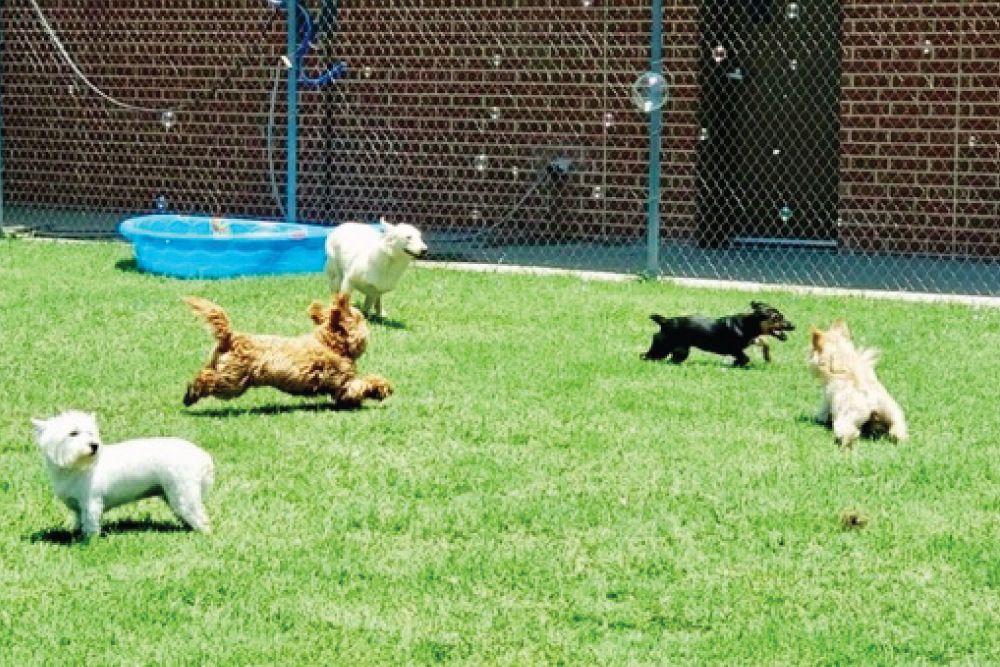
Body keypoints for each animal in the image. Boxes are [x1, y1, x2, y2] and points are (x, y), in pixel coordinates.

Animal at [33, 410, 215, 540]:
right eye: (73, 433)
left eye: (91, 433)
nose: (94, 445)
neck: (76, 467)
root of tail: (202, 456)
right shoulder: (78, 506)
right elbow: (79, 520)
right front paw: (77, 533)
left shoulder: (91, 502)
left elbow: (90, 523)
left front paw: (89, 541)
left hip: (183, 494)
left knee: (200, 517)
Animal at [182, 294, 392, 410]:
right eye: (361, 319)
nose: (369, 322)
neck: (330, 344)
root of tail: (231, 336)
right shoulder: (343, 382)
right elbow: (363, 385)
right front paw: (383, 388)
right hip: (232, 381)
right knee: (207, 380)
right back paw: (192, 393)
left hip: (221, 368)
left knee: (205, 372)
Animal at [640, 302, 796, 366]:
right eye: (777, 318)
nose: (793, 326)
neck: (748, 325)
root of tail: (665, 322)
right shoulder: (733, 349)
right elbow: (745, 357)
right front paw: (736, 363)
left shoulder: (752, 340)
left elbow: (764, 343)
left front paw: (767, 358)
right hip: (661, 347)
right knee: (644, 356)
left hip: (680, 352)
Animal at [804, 320, 908, 448]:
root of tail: (872, 401)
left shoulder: (827, 398)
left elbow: (823, 410)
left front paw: (820, 419)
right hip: (894, 414)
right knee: (897, 430)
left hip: (845, 421)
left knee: (849, 433)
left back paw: (844, 445)